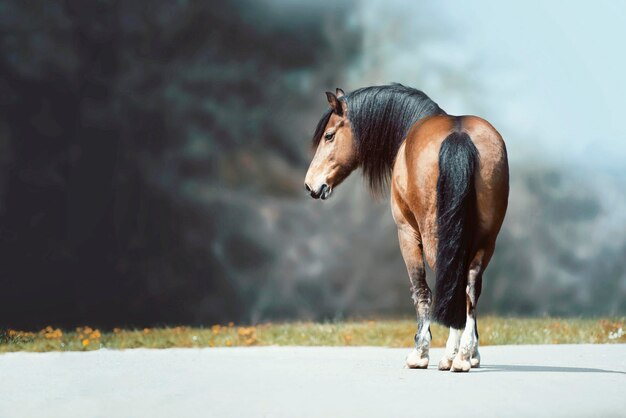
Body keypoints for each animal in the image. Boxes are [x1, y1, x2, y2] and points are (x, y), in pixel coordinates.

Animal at [302, 83, 508, 370]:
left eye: (329, 136)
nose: (310, 184)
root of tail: (459, 137)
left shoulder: (406, 232)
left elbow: (420, 289)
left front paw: (419, 353)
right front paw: (474, 353)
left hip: (435, 236)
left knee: (449, 282)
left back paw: (452, 356)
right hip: (486, 239)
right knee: (471, 284)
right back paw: (466, 354)